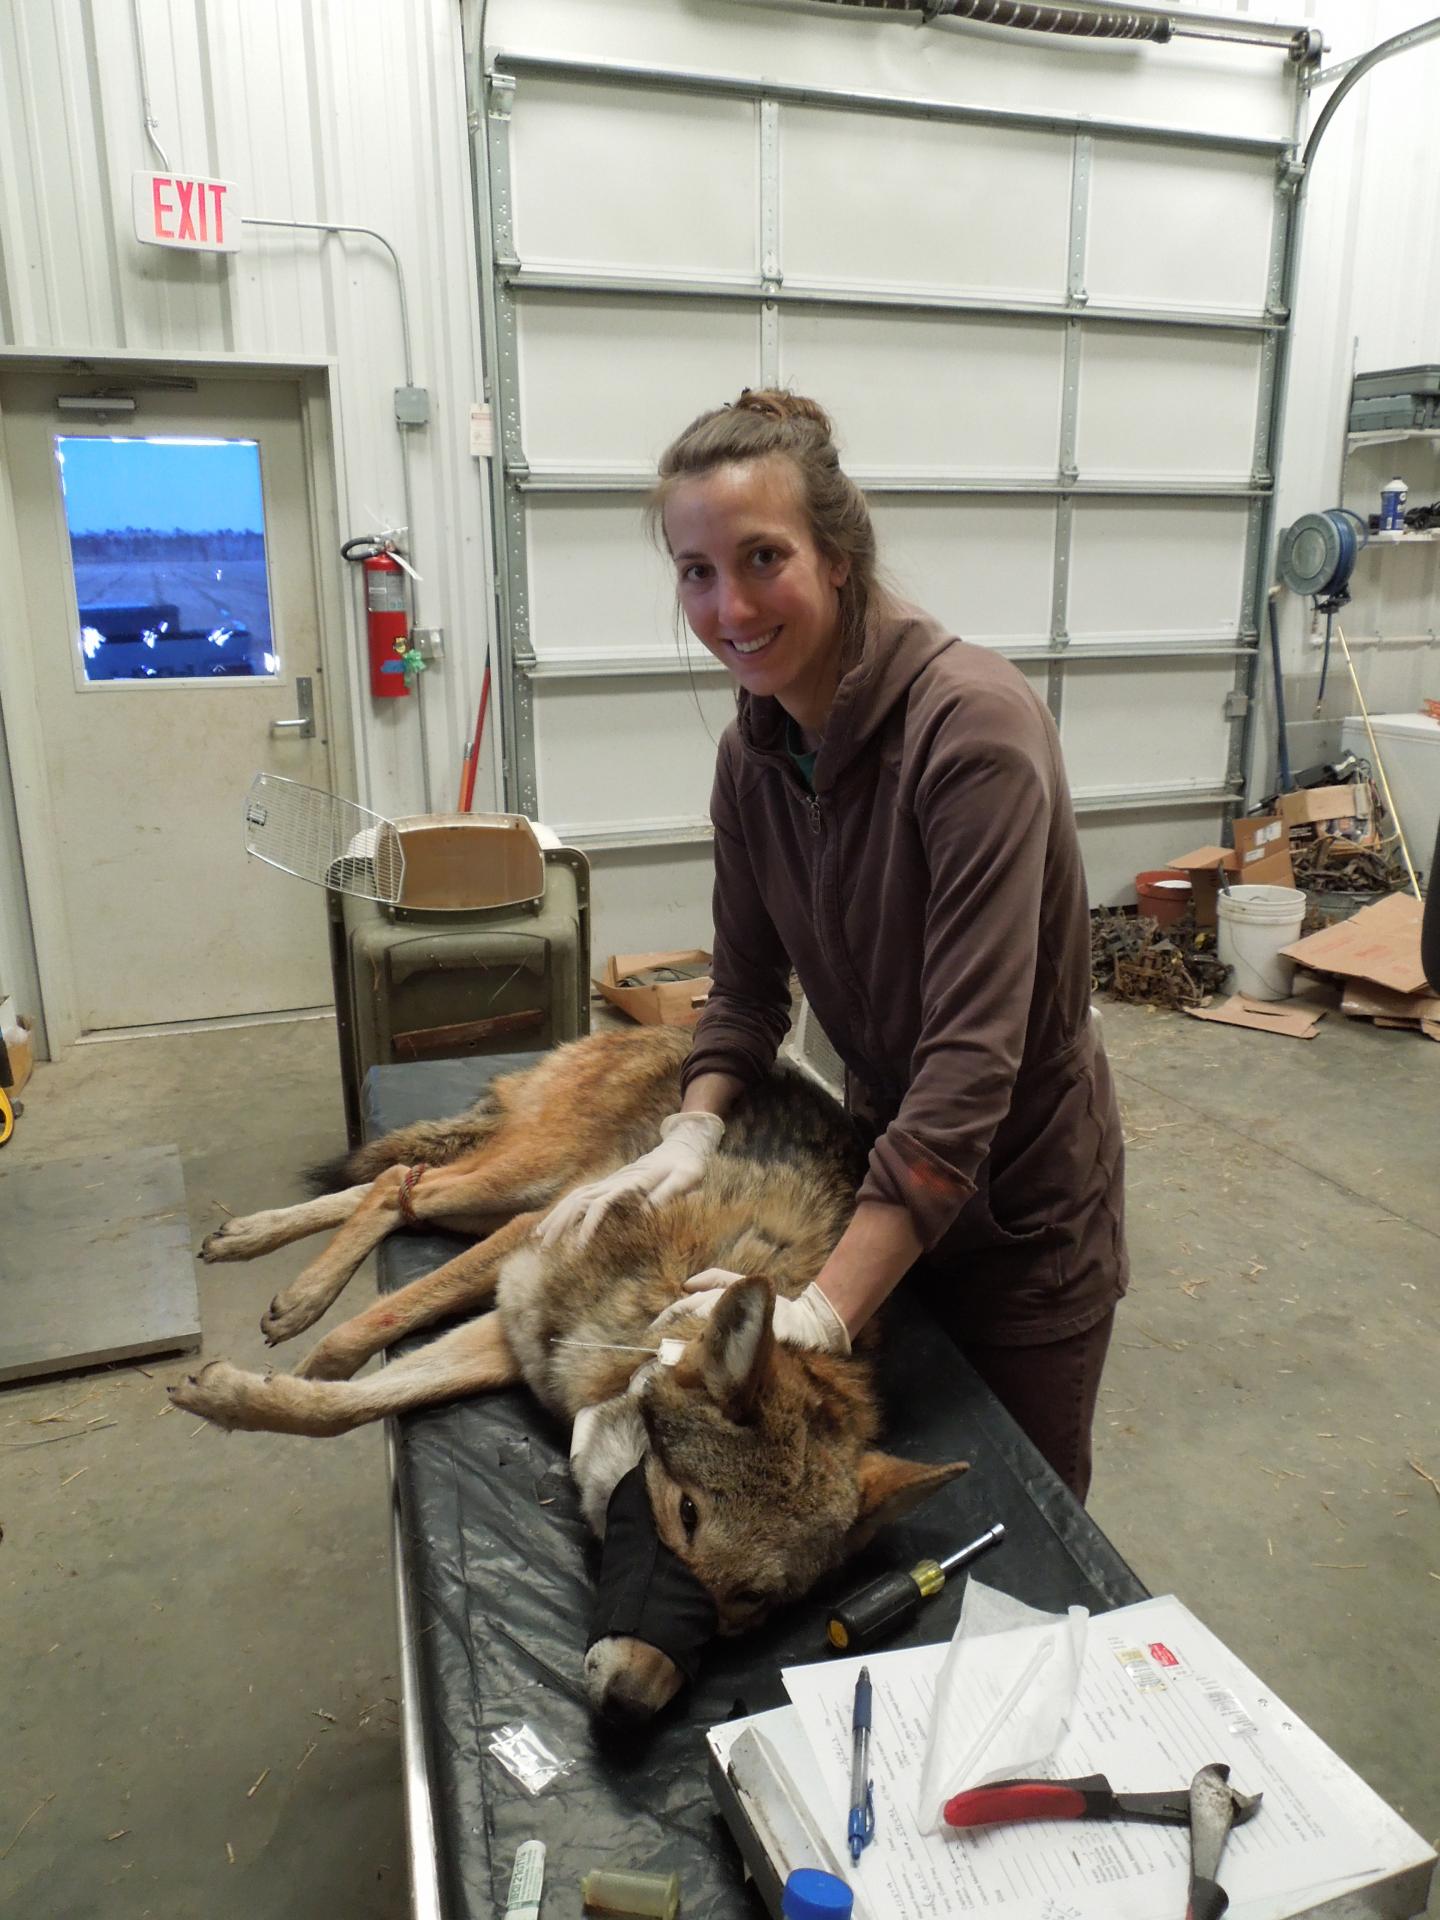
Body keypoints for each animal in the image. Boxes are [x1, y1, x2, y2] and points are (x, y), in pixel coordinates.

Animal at [172, 1026, 967, 1717]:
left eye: (753, 1602)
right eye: (686, 1515)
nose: (632, 1706)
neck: (658, 1316)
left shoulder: (515, 1339)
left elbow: (359, 1399)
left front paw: (257, 1393)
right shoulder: (523, 1260)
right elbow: (361, 1338)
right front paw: (277, 1379)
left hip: (500, 1202)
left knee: (400, 1186)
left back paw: (249, 1239)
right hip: (522, 1192)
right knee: (402, 1181)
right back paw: (292, 1285)